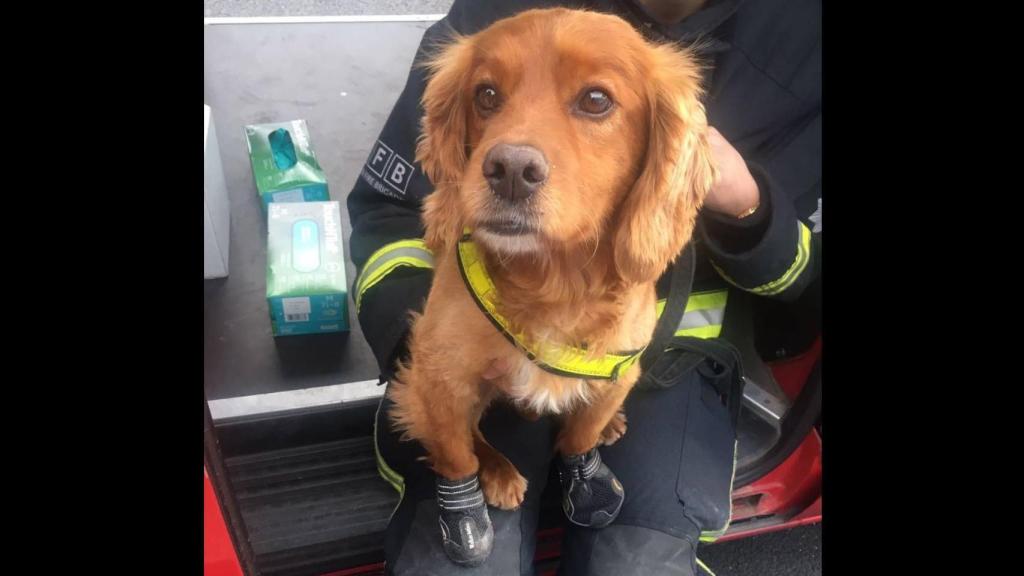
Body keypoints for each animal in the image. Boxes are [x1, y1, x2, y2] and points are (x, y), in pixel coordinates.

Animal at [387, 7, 716, 506]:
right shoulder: (440, 379)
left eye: (596, 100)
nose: (510, 170)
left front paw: (587, 467)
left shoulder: (620, 375)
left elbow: (580, 437)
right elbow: (457, 456)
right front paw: (470, 505)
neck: (553, 284)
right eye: (486, 95)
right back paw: (499, 470)